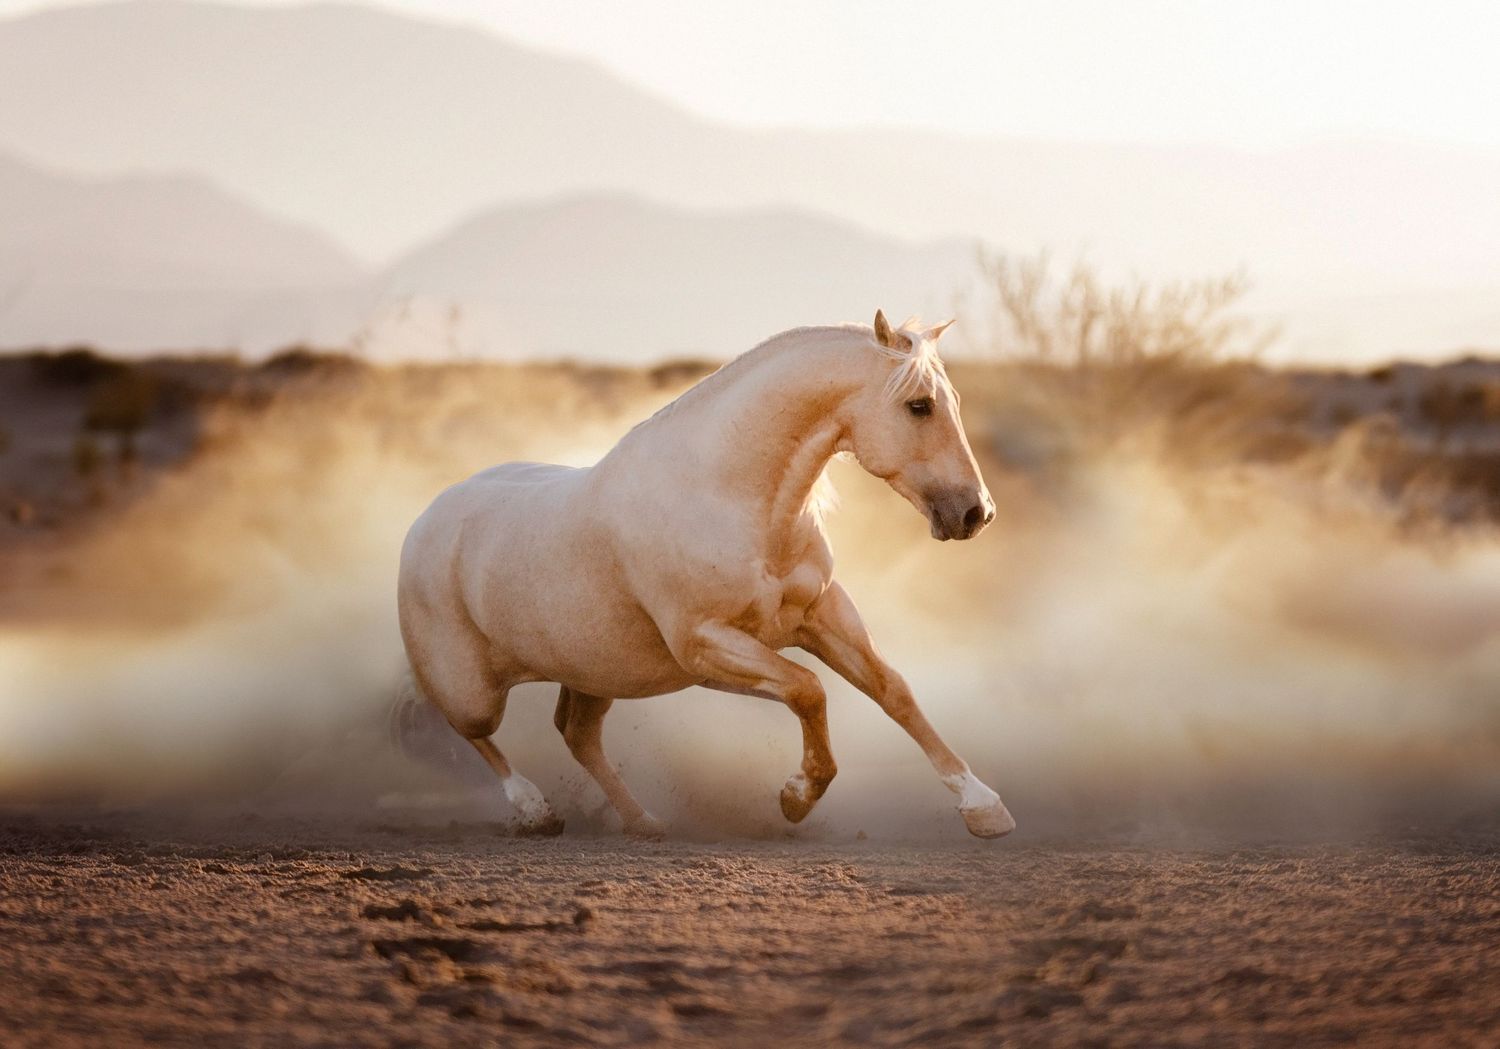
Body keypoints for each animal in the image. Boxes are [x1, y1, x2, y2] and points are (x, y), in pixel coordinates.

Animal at [396, 310, 1015, 839]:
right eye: (919, 406)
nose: (976, 513)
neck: (729, 496)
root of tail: (424, 522)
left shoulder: (821, 615)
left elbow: (893, 692)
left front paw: (984, 807)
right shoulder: (703, 647)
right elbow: (807, 689)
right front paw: (796, 796)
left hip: (594, 674)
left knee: (576, 734)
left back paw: (643, 823)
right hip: (472, 691)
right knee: (474, 732)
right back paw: (536, 811)